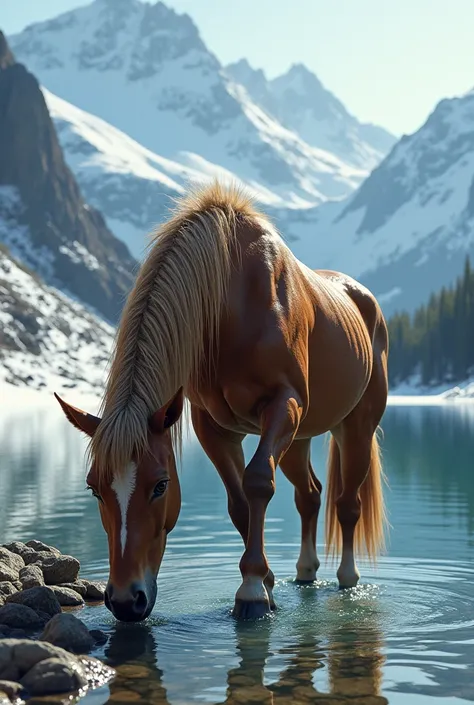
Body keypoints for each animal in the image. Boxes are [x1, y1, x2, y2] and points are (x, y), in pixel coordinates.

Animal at [55, 182, 388, 620]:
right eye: (94, 488)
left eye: (161, 485)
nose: (126, 600)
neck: (233, 302)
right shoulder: (212, 425)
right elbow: (240, 504)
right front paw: (266, 584)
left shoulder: (283, 406)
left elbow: (258, 481)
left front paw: (251, 592)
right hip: (301, 438)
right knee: (310, 495)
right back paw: (304, 572)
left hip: (356, 428)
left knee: (347, 503)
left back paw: (347, 577)